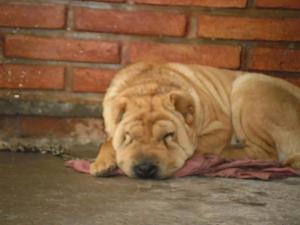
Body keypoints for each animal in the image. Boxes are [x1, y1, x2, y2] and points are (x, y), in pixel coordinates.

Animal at [89, 61, 300, 179]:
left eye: (168, 135)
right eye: (129, 136)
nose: (145, 168)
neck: (150, 86)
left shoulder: (220, 126)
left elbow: (199, 145)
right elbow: (107, 142)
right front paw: (102, 163)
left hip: (247, 84)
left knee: (264, 154)